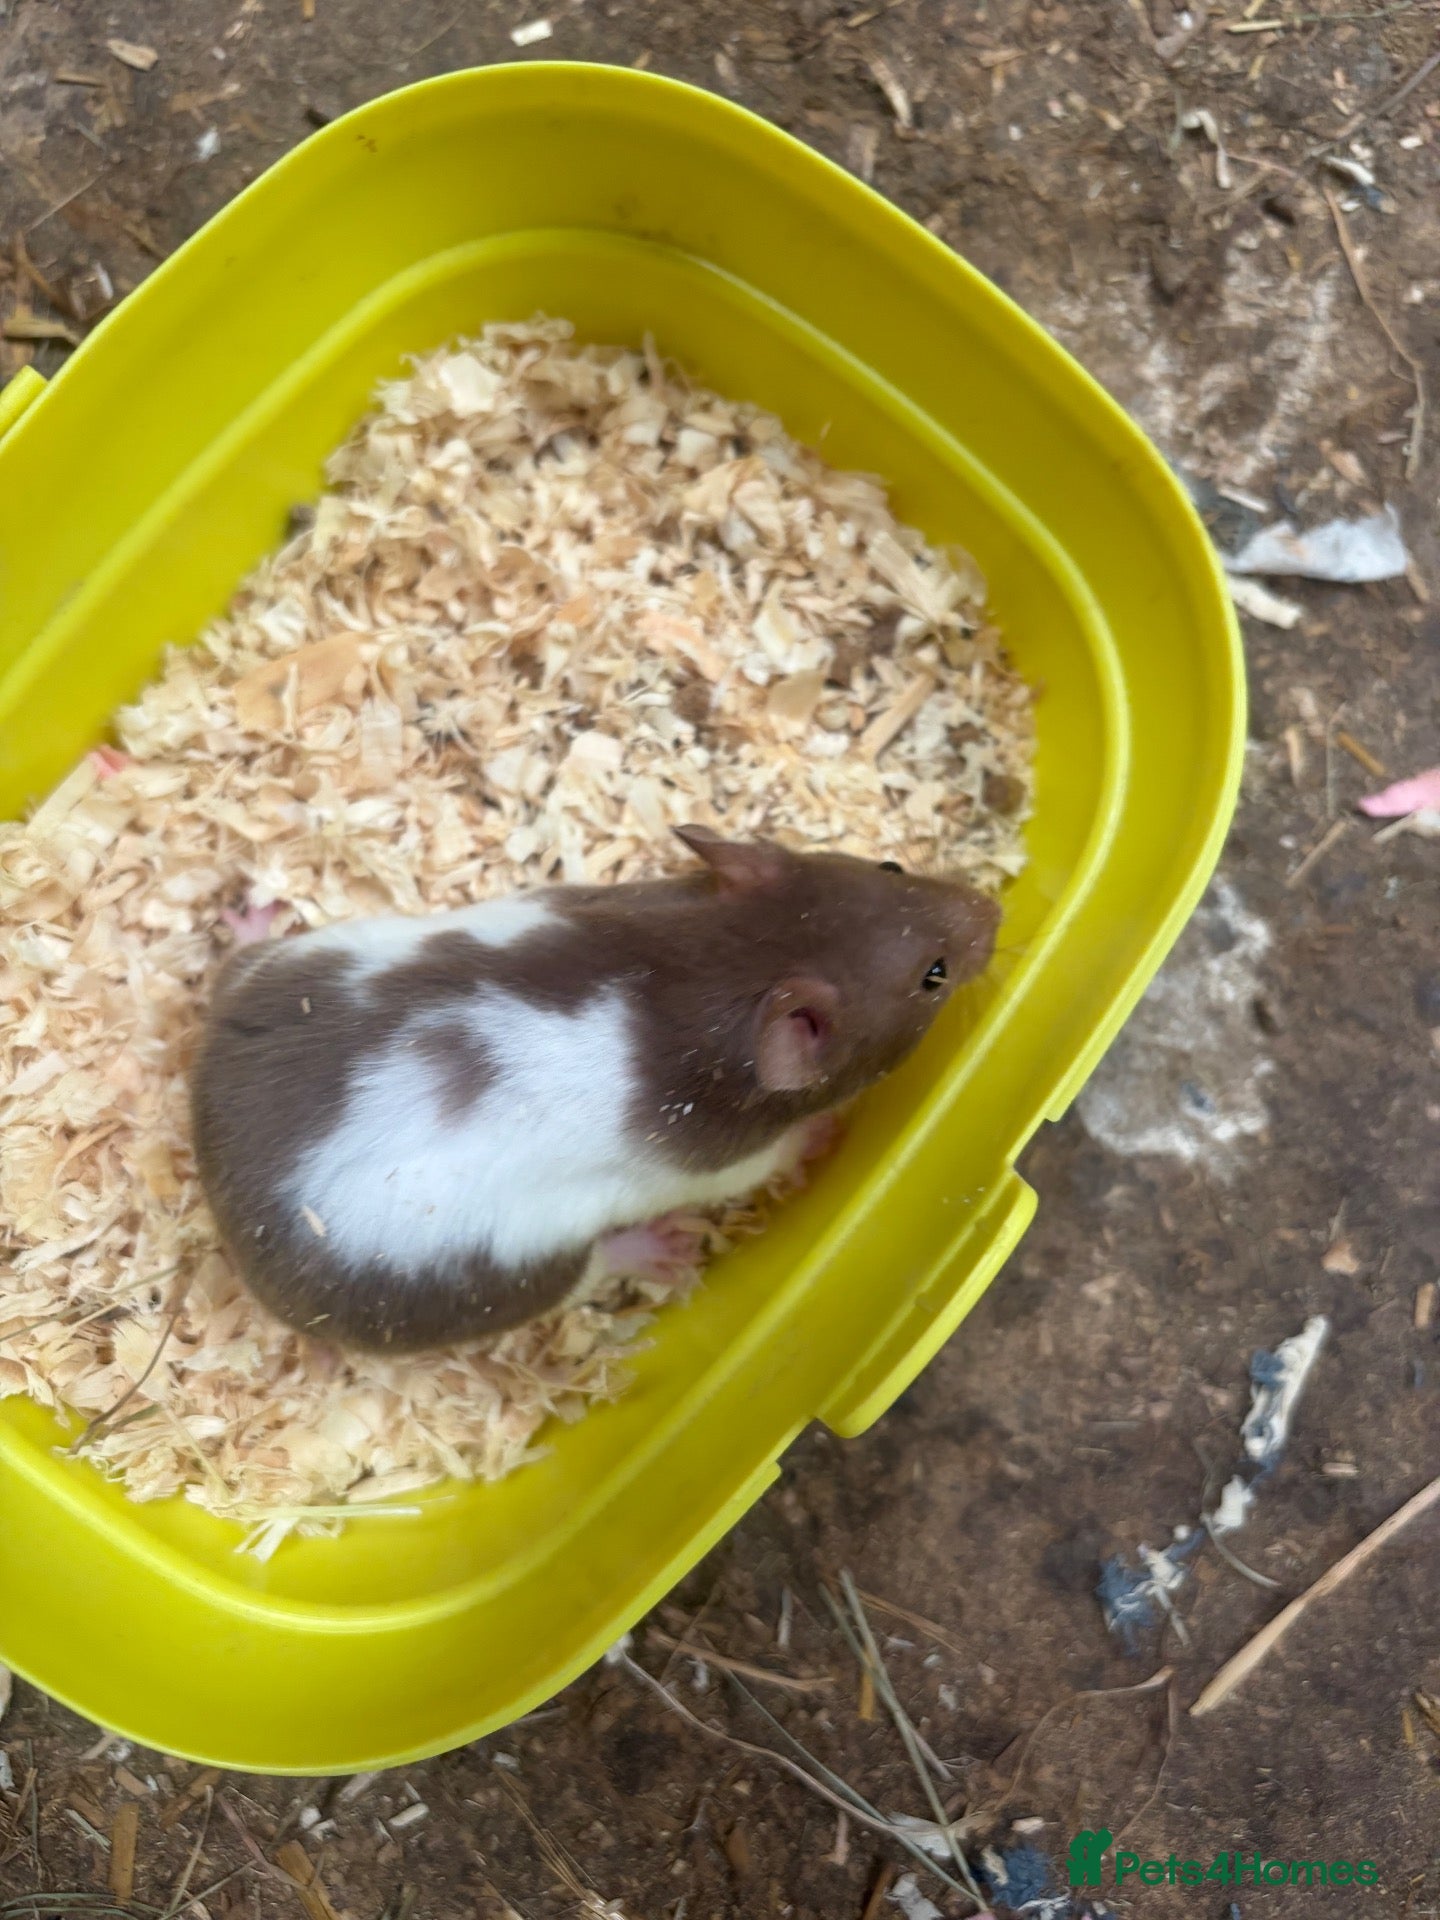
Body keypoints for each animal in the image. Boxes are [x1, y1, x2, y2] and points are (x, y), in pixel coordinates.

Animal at [190, 827, 1000, 1351]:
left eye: (893, 865)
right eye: (934, 976)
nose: (996, 910)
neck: (726, 964)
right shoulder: (725, 1161)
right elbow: (777, 1155)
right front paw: (825, 1135)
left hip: (295, 962)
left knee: (236, 965)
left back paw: (248, 916)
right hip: (518, 1273)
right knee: (593, 1269)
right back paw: (665, 1250)